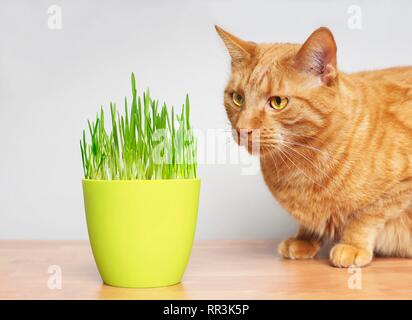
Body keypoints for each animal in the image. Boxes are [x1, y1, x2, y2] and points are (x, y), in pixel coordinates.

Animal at [216, 25, 412, 266]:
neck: (299, 166)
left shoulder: (401, 187)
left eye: (278, 102)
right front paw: (304, 238)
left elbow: (366, 216)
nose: (242, 129)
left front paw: (352, 244)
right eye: (238, 98)